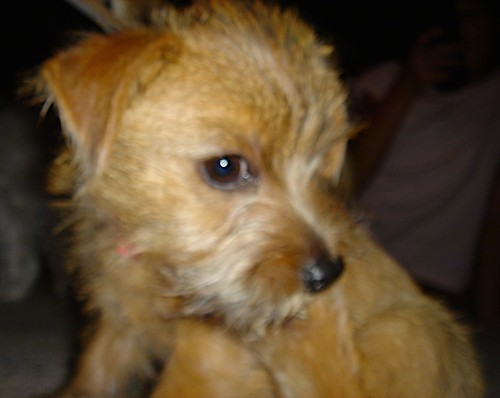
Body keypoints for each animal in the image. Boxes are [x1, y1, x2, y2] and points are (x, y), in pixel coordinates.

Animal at [33, 1, 482, 396]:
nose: (328, 275)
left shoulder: (210, 358)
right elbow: (92, 376)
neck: (150, 257)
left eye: (318, 165)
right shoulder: (119, 326)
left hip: (410, 330)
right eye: (225, 167)